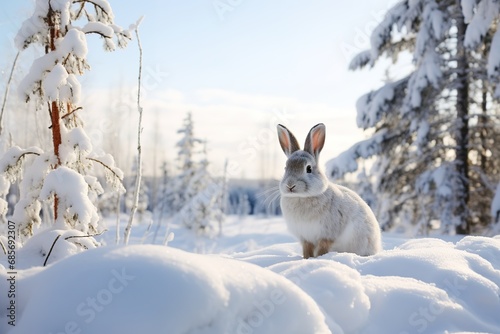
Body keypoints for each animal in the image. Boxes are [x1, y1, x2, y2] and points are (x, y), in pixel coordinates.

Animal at [276, 123, 380, 258]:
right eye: (285, 168)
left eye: (308, 168)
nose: (290, 185)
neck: (302, 197)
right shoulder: (306, 238)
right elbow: (307, 250)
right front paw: (306, 259)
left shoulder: (327, 235)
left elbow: (322, 249)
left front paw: (319, 258)